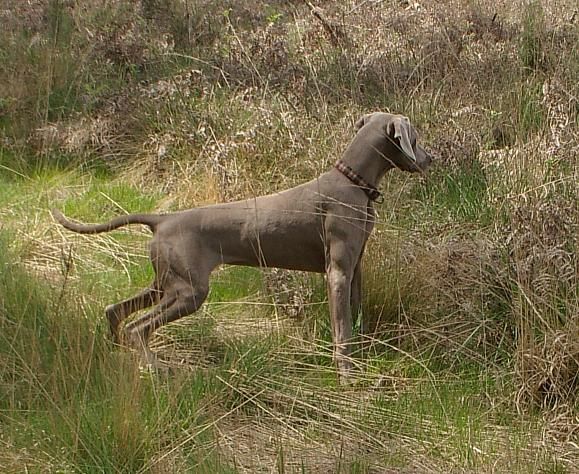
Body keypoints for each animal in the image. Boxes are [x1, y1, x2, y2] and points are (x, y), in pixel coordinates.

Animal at [54, 113, 432, 380]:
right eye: (415, 138)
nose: (430, 159)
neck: (353, 182)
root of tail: (161, 218)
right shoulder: (337, 271)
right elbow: (342, 330)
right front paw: (347, 376)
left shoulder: (356, 268)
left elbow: (357, 319)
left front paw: (365, 356)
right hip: (189, 291)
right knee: (138, 327)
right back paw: (157, 368)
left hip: (167, 282)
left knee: (116, 311)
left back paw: (119, 354)